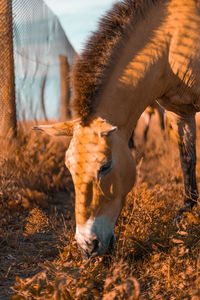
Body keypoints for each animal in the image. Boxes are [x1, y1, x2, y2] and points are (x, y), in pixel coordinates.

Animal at [34, 0, 200, 258]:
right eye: (69, 168)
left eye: (105, 166)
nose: (87, 246)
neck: (172, 41)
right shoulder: (179, 112)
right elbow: (187, 159)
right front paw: (187, 212)